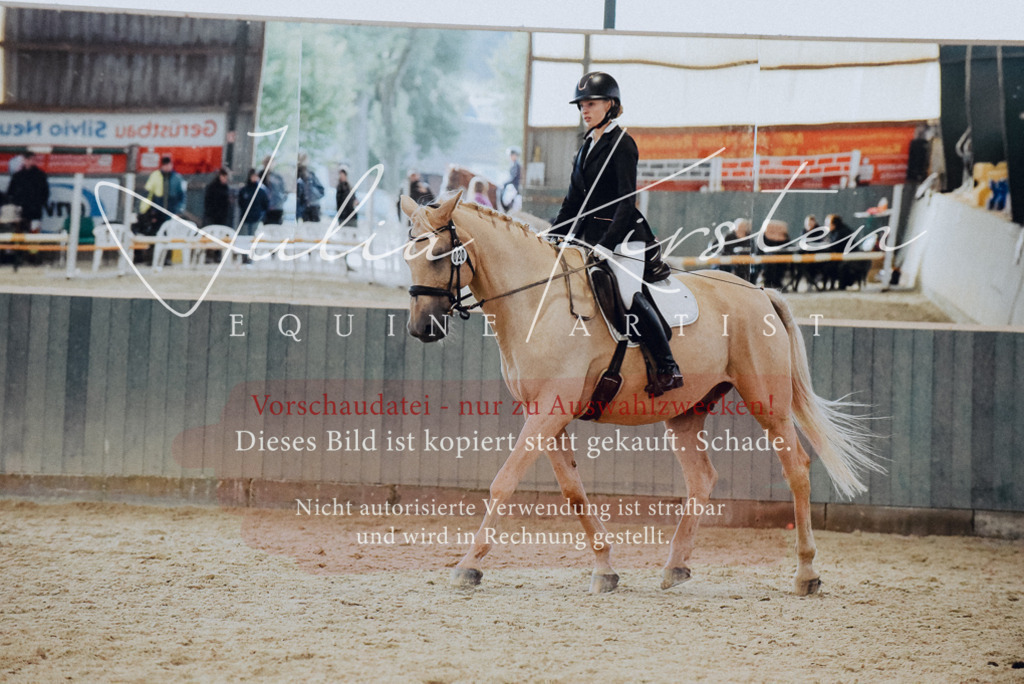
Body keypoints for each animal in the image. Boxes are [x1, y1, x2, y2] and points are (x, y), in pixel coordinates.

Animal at [400, 192, 880, 595]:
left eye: (439, 255)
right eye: (407, 257)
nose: (422, 328)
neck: (538, 302)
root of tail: (760, 292)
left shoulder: (548, 412)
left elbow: (504, 482)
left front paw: (468, 565)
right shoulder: (546, 415)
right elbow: (573, 492)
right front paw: (605, 570)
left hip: (768, 404)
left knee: (796, 469)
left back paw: (806, 573)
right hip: (686, 411)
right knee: (702, 479)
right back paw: (675, 567)